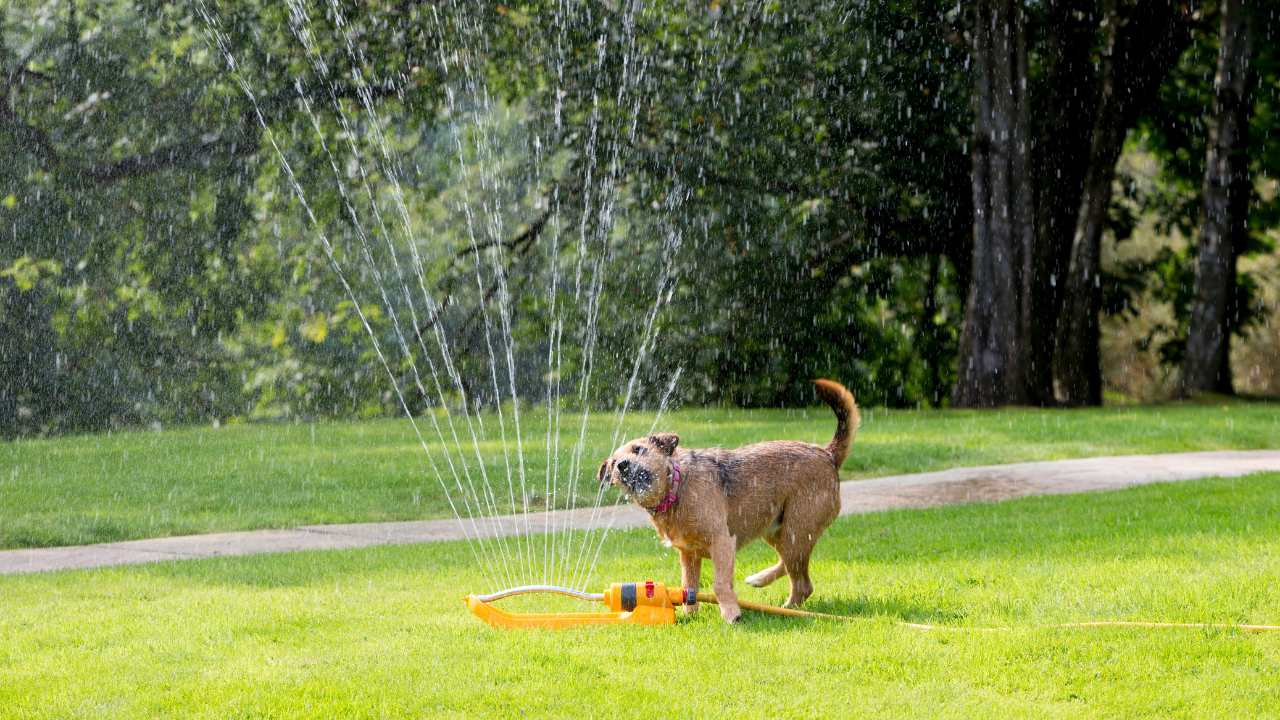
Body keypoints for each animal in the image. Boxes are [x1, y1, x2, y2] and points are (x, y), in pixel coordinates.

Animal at [591, 379, 855, 620]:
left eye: (638, 449)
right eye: (613, 463)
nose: (622, 465)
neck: (676, 490)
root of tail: (827, 454)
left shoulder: (721, 542)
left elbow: (719, 584)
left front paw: (731, 614)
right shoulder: (688, 554)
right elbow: (688, 585)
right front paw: (689, 615)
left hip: (796, 530)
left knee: (801, 582)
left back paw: (786, 609)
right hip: (775, 530)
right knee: (794, 570)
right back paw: (761, 580)